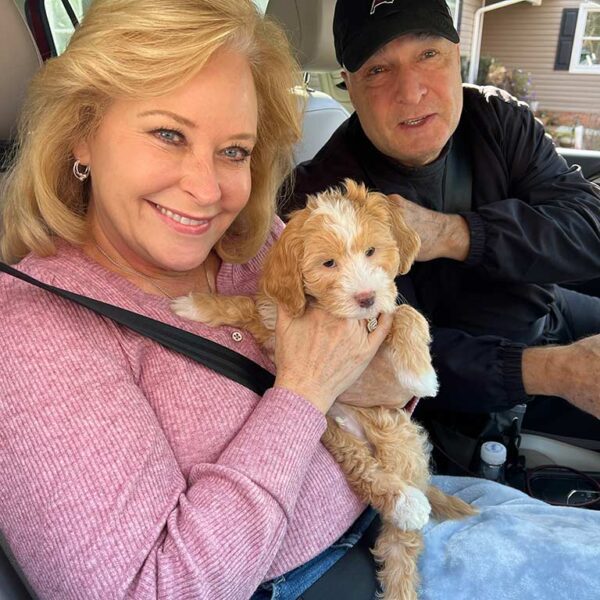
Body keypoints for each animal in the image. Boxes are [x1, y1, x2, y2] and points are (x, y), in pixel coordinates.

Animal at [171, 179, 476, 600]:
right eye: (328, 263)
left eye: (371, 251)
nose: (365, 297)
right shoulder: (273, 321)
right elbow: (241, 306)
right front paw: (195, 306)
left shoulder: (382, 316)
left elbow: (406, 315)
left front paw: (420, 373)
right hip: (331, 430)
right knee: (365, 474)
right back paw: (403, 502)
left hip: (398, 441)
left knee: (400, 549)